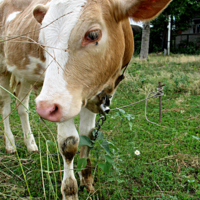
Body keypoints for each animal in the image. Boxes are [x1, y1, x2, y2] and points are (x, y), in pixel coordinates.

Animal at [0, 0, 171, 199]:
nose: (44, 108)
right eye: (42, 42)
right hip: (4, 69)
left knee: (21, 105)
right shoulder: (62, 102)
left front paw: (87, 181)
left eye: (93, 34)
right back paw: (10, 144)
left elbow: (88, 135)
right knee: (5, 105)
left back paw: (30, 144)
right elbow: (69, 143)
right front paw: (70, 191)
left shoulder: (91, 95)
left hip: (26, 77)